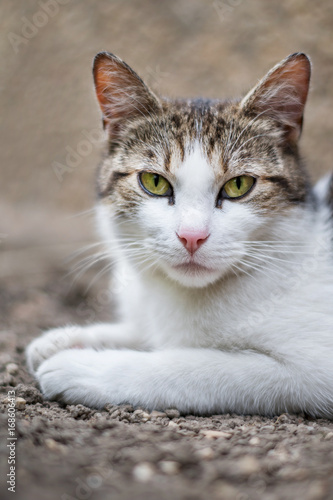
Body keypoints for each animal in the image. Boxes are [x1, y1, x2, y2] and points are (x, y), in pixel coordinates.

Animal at [26, 50, 332, 418]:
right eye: (154, 182)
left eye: (239, 185)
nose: (192, 236)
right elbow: (146, 334)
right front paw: (67, 339)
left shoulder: (313, 369)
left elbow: (196, 364)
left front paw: (83, 366)